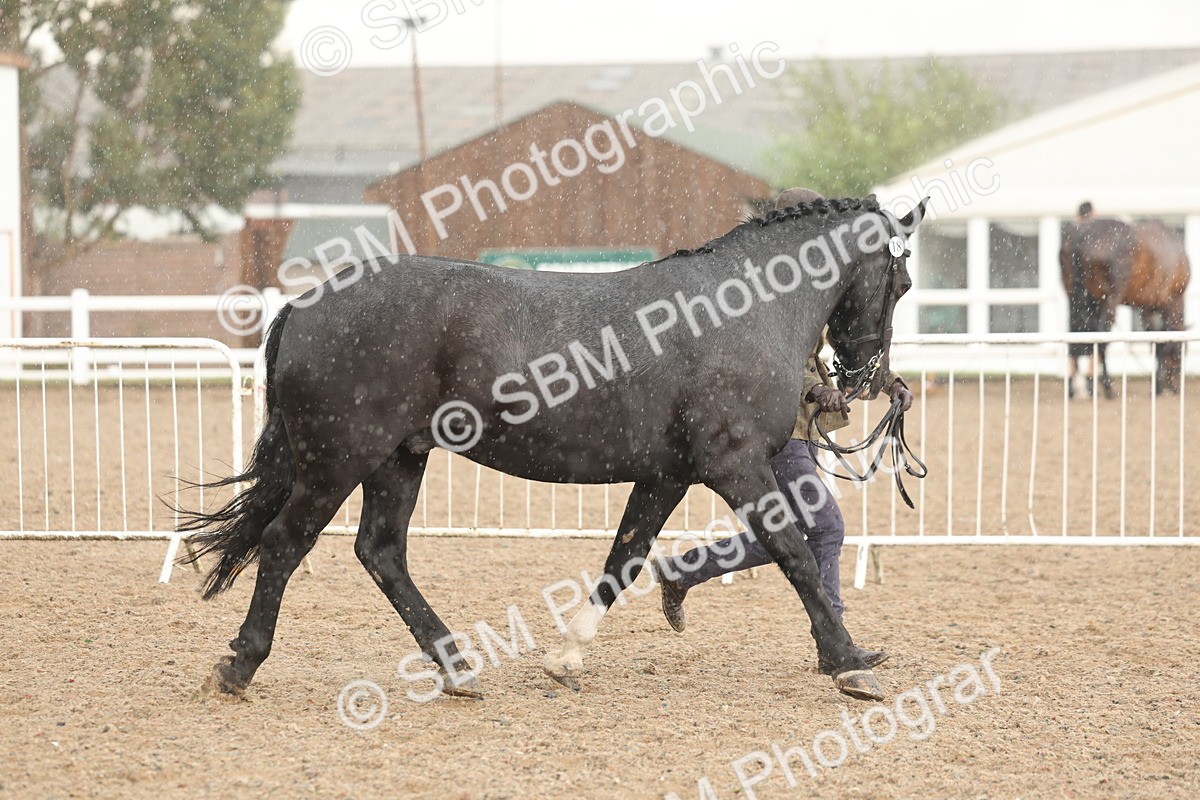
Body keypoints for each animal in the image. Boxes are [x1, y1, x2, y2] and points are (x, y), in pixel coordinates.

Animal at [179, 194, 929, 703]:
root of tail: (307, 303)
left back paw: (457, 668)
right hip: (337, 460)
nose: (864, 379)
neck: (739, 311)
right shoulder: (736, 465)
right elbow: (795, 553)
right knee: (285, 544)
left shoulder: (667, 475)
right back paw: (240, 664)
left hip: (398, 458)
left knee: (381, 552)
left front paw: (566, 658)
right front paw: (848, 662)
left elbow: (624, 560)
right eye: (902, 283)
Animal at [1061, 218, 1191, 394]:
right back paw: (1106, 387)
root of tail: (1081, 235)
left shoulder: (1147, 309)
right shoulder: (1170, 302)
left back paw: (1073, 388)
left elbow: (1154, 341)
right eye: (1182, 352)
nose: (1177, 387)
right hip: (1109, 300)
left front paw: (1157, 385)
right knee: (1101, 338)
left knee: (1076, 334)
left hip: (1076, 298)